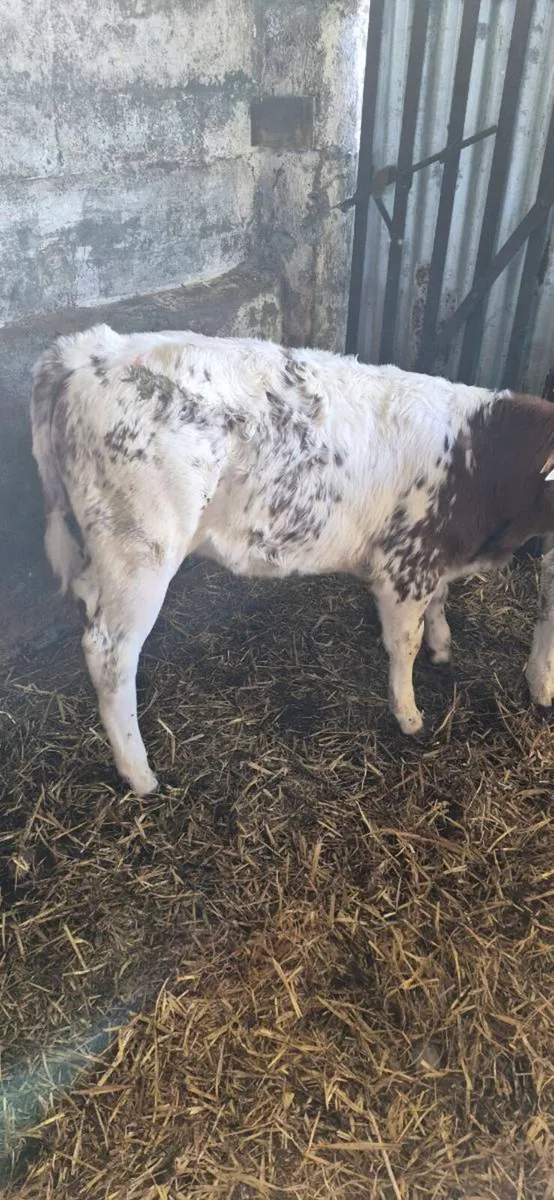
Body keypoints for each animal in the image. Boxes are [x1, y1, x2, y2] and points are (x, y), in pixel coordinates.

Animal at [30, 324, 554, 796]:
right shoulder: (404, 566)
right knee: (110, 652)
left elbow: (440, 603)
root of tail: (88, 350)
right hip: (141, 551)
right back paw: (139, 775)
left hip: (101, 549)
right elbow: (404, 642)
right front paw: (409, 715)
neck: (480, 457)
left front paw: (442, 648)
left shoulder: (435, 561)